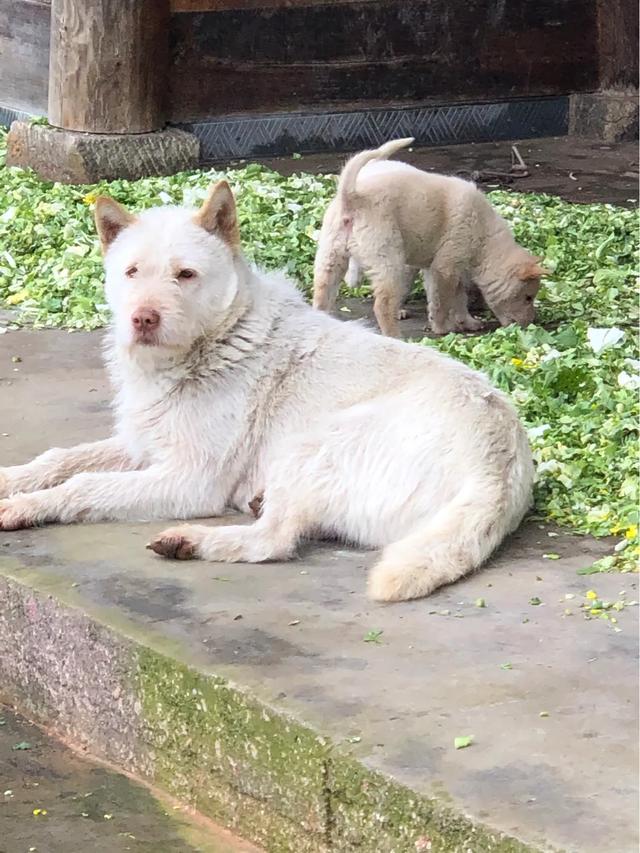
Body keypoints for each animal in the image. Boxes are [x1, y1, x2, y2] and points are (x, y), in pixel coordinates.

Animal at [0, 183, 536, 604]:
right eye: (131, 272)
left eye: (185, 274)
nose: (143, 319)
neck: (214, 342)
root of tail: (500, 469)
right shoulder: (142, 445)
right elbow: (59, 459)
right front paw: (13, 481)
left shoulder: (189, 479)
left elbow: (83, 485)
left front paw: (25, 507)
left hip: (311, 444)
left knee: (273, 542)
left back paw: (192, 540)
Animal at [312, 139, 544, 336]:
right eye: (528, 297)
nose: (530, 323)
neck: (484, 238)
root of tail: (352, 197)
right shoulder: (445, 268)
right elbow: (443, 301)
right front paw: (442, 327)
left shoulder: (440, 269)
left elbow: (455, 299)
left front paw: (467, 322)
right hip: (388, 261)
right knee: (383, 305)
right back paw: (395, 335)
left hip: (330, 257)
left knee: (322, 295)